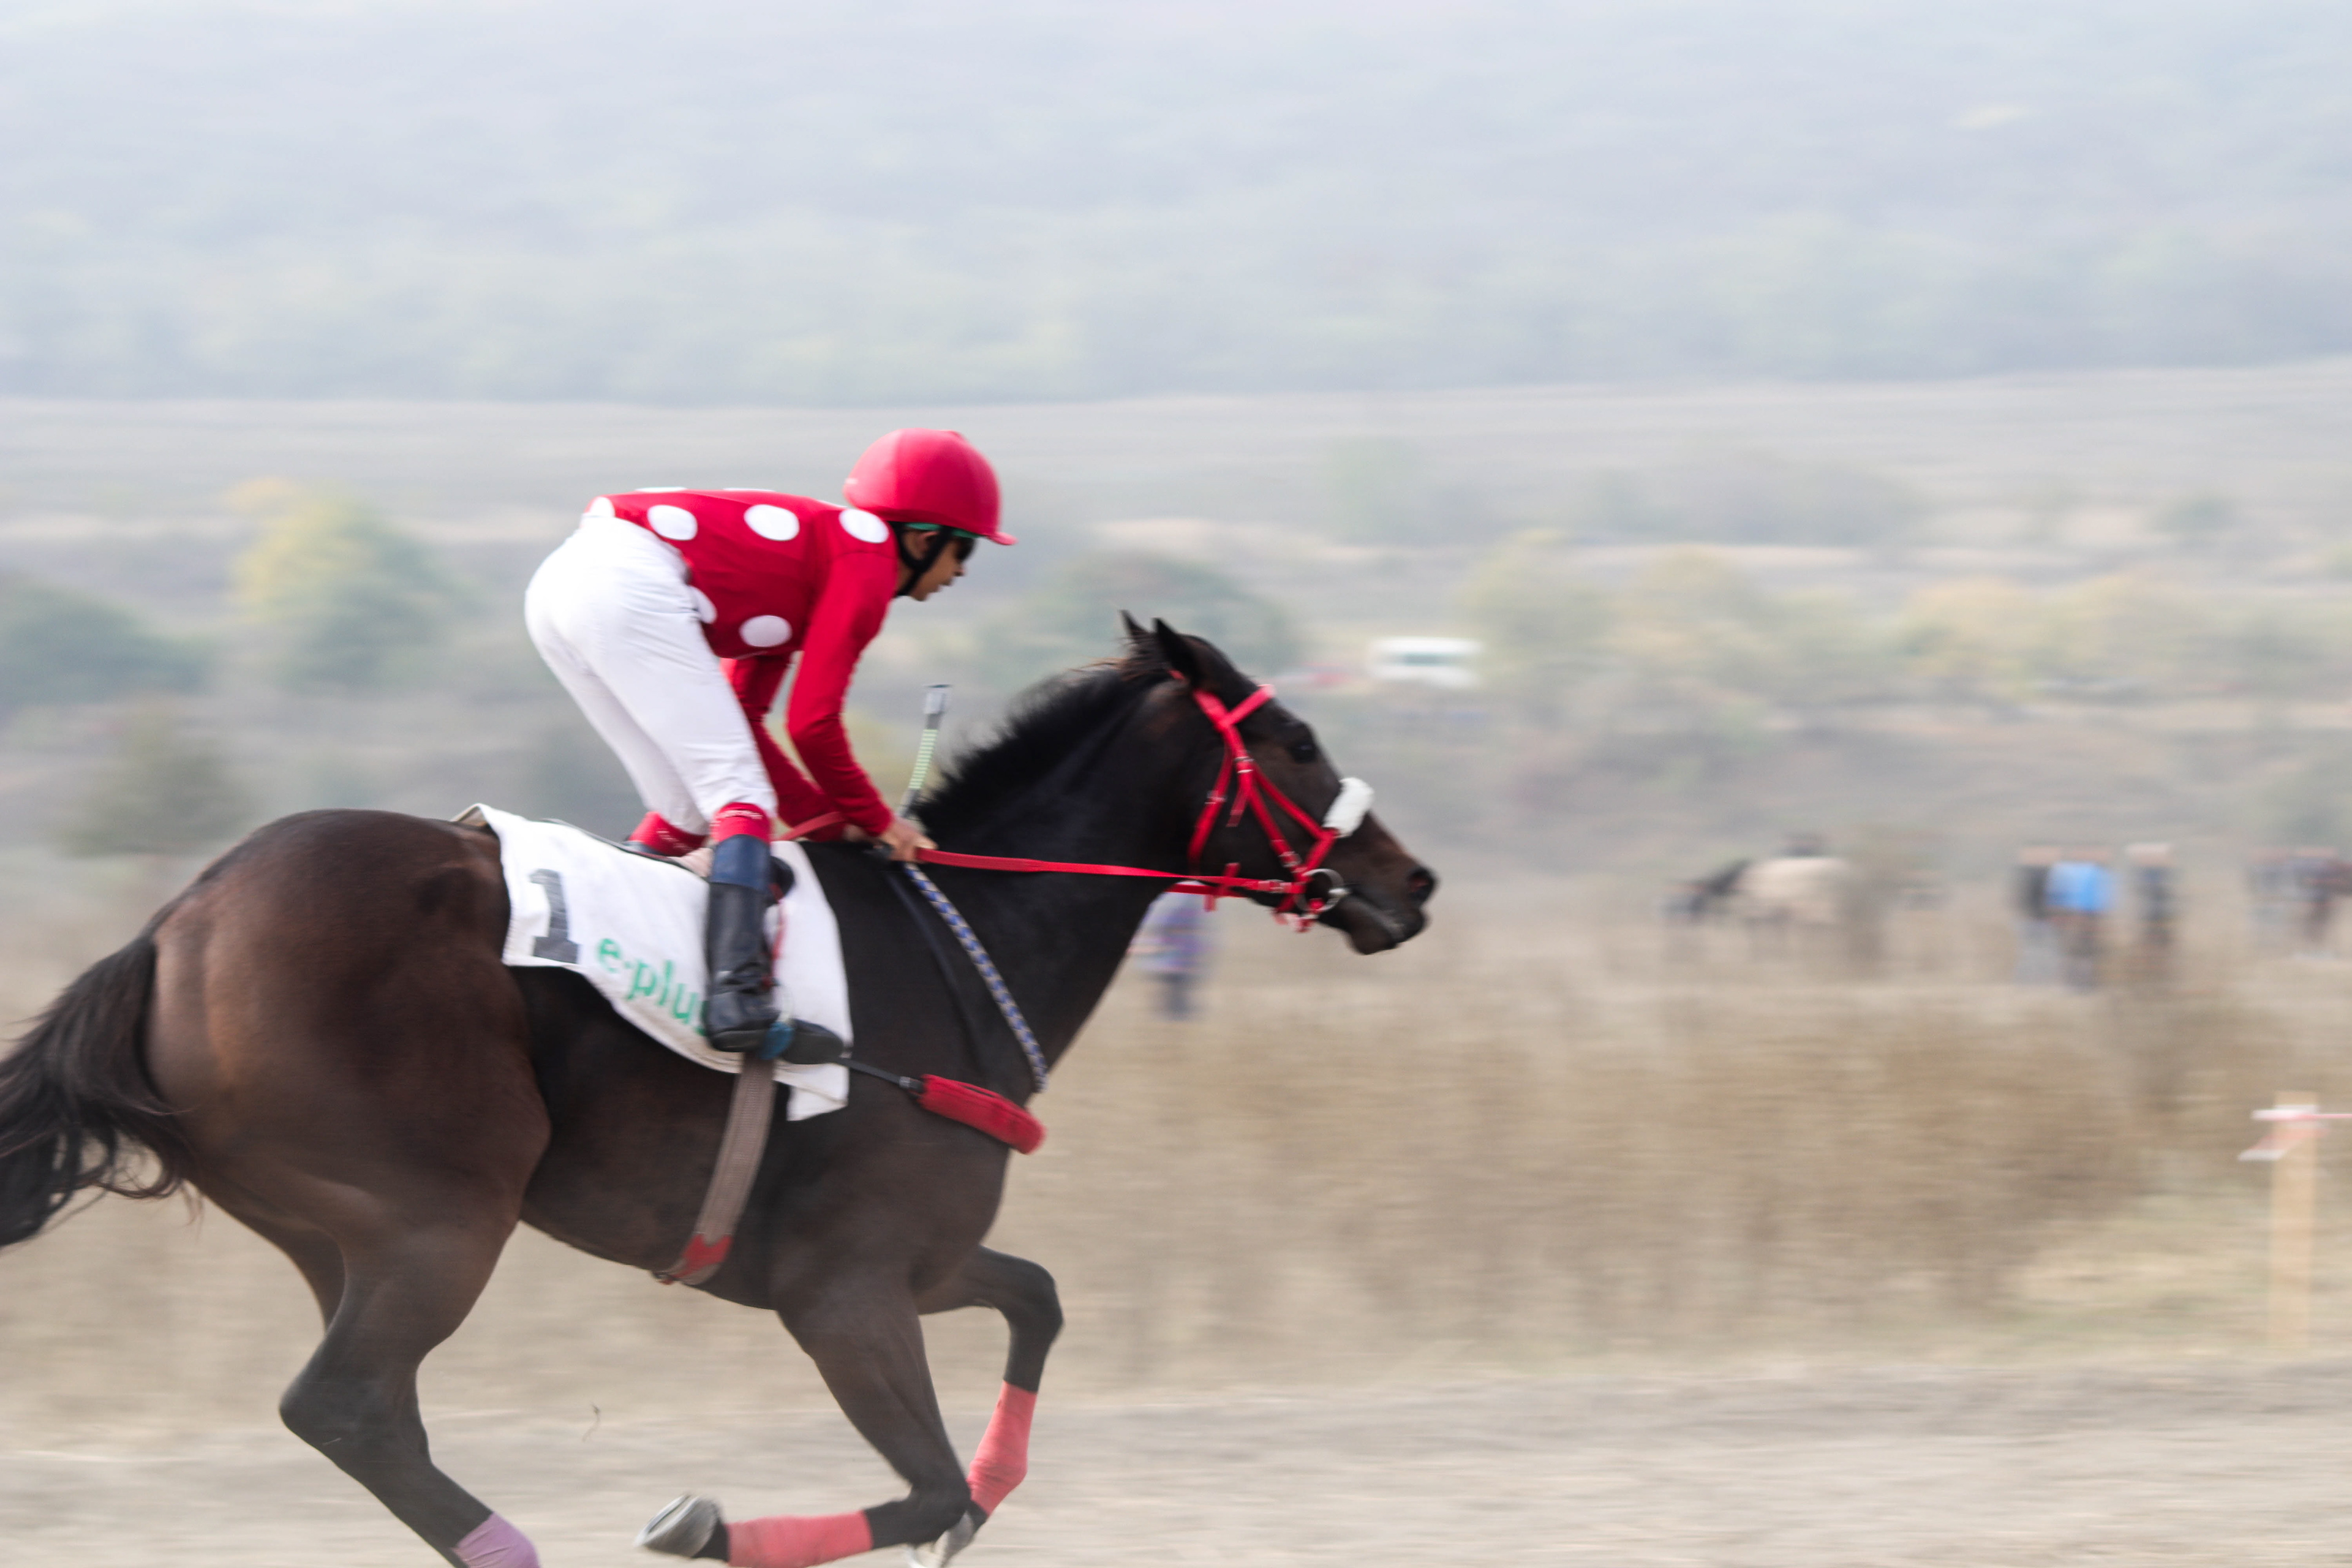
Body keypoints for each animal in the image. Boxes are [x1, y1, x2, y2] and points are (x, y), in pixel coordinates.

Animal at [0, 618, 1434, 1568]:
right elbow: (924, 1487)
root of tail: (175, 928)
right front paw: (702, 1522)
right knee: (345, 1404)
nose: (1410, 882)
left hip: (336, 1231)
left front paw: (985, 1481)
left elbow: (1034, 1308)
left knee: (371, 1415)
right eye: (1298, 740)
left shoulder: (909, 1260)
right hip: (435, 1217)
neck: (962, 943)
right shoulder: (842, 1289)